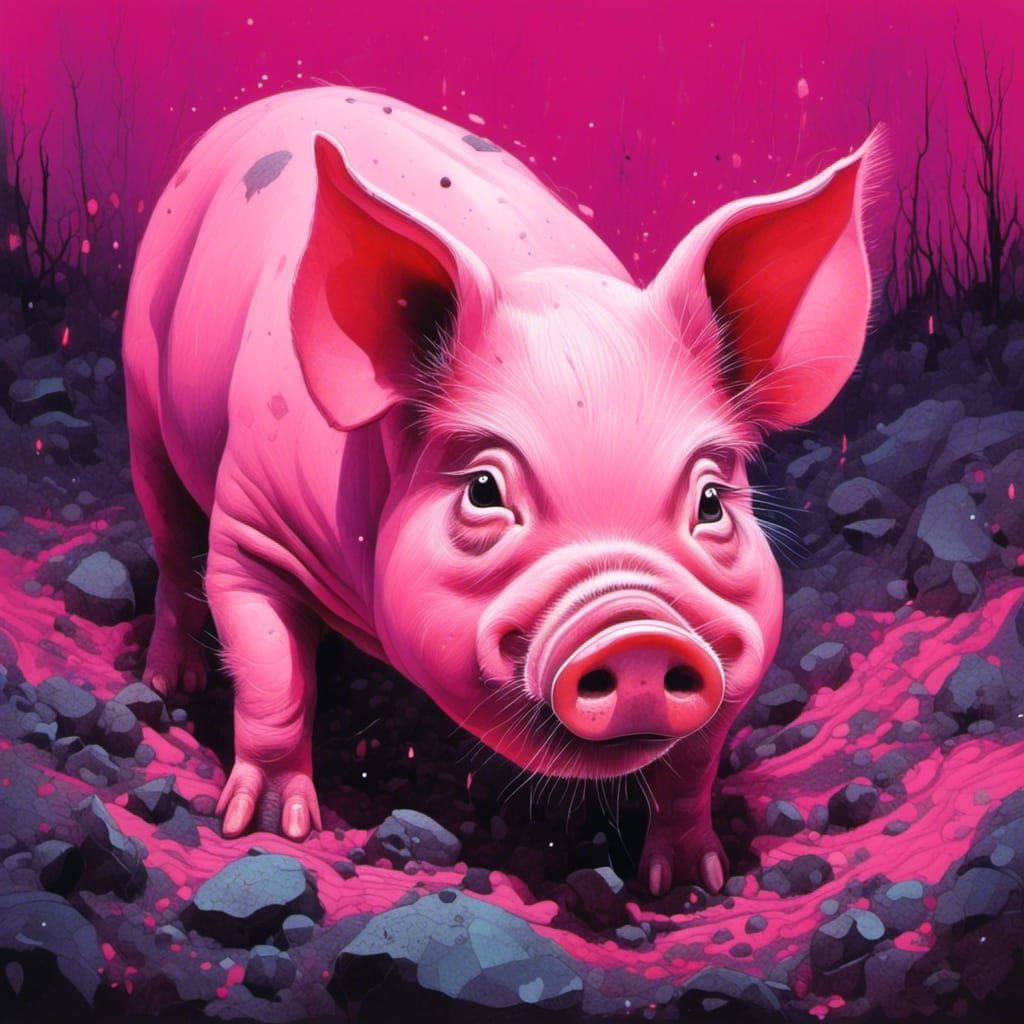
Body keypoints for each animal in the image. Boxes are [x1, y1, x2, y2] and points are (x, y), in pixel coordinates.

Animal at [123, 86, 879, 893]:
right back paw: (173, 685)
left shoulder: (743, 629)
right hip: (142, 385)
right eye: (484, 490)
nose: (639, 633)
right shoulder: (252, 526)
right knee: (171, 538)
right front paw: (271, 830)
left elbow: (693, 766)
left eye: (710, 501)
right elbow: (272, 674)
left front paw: (688, 883)